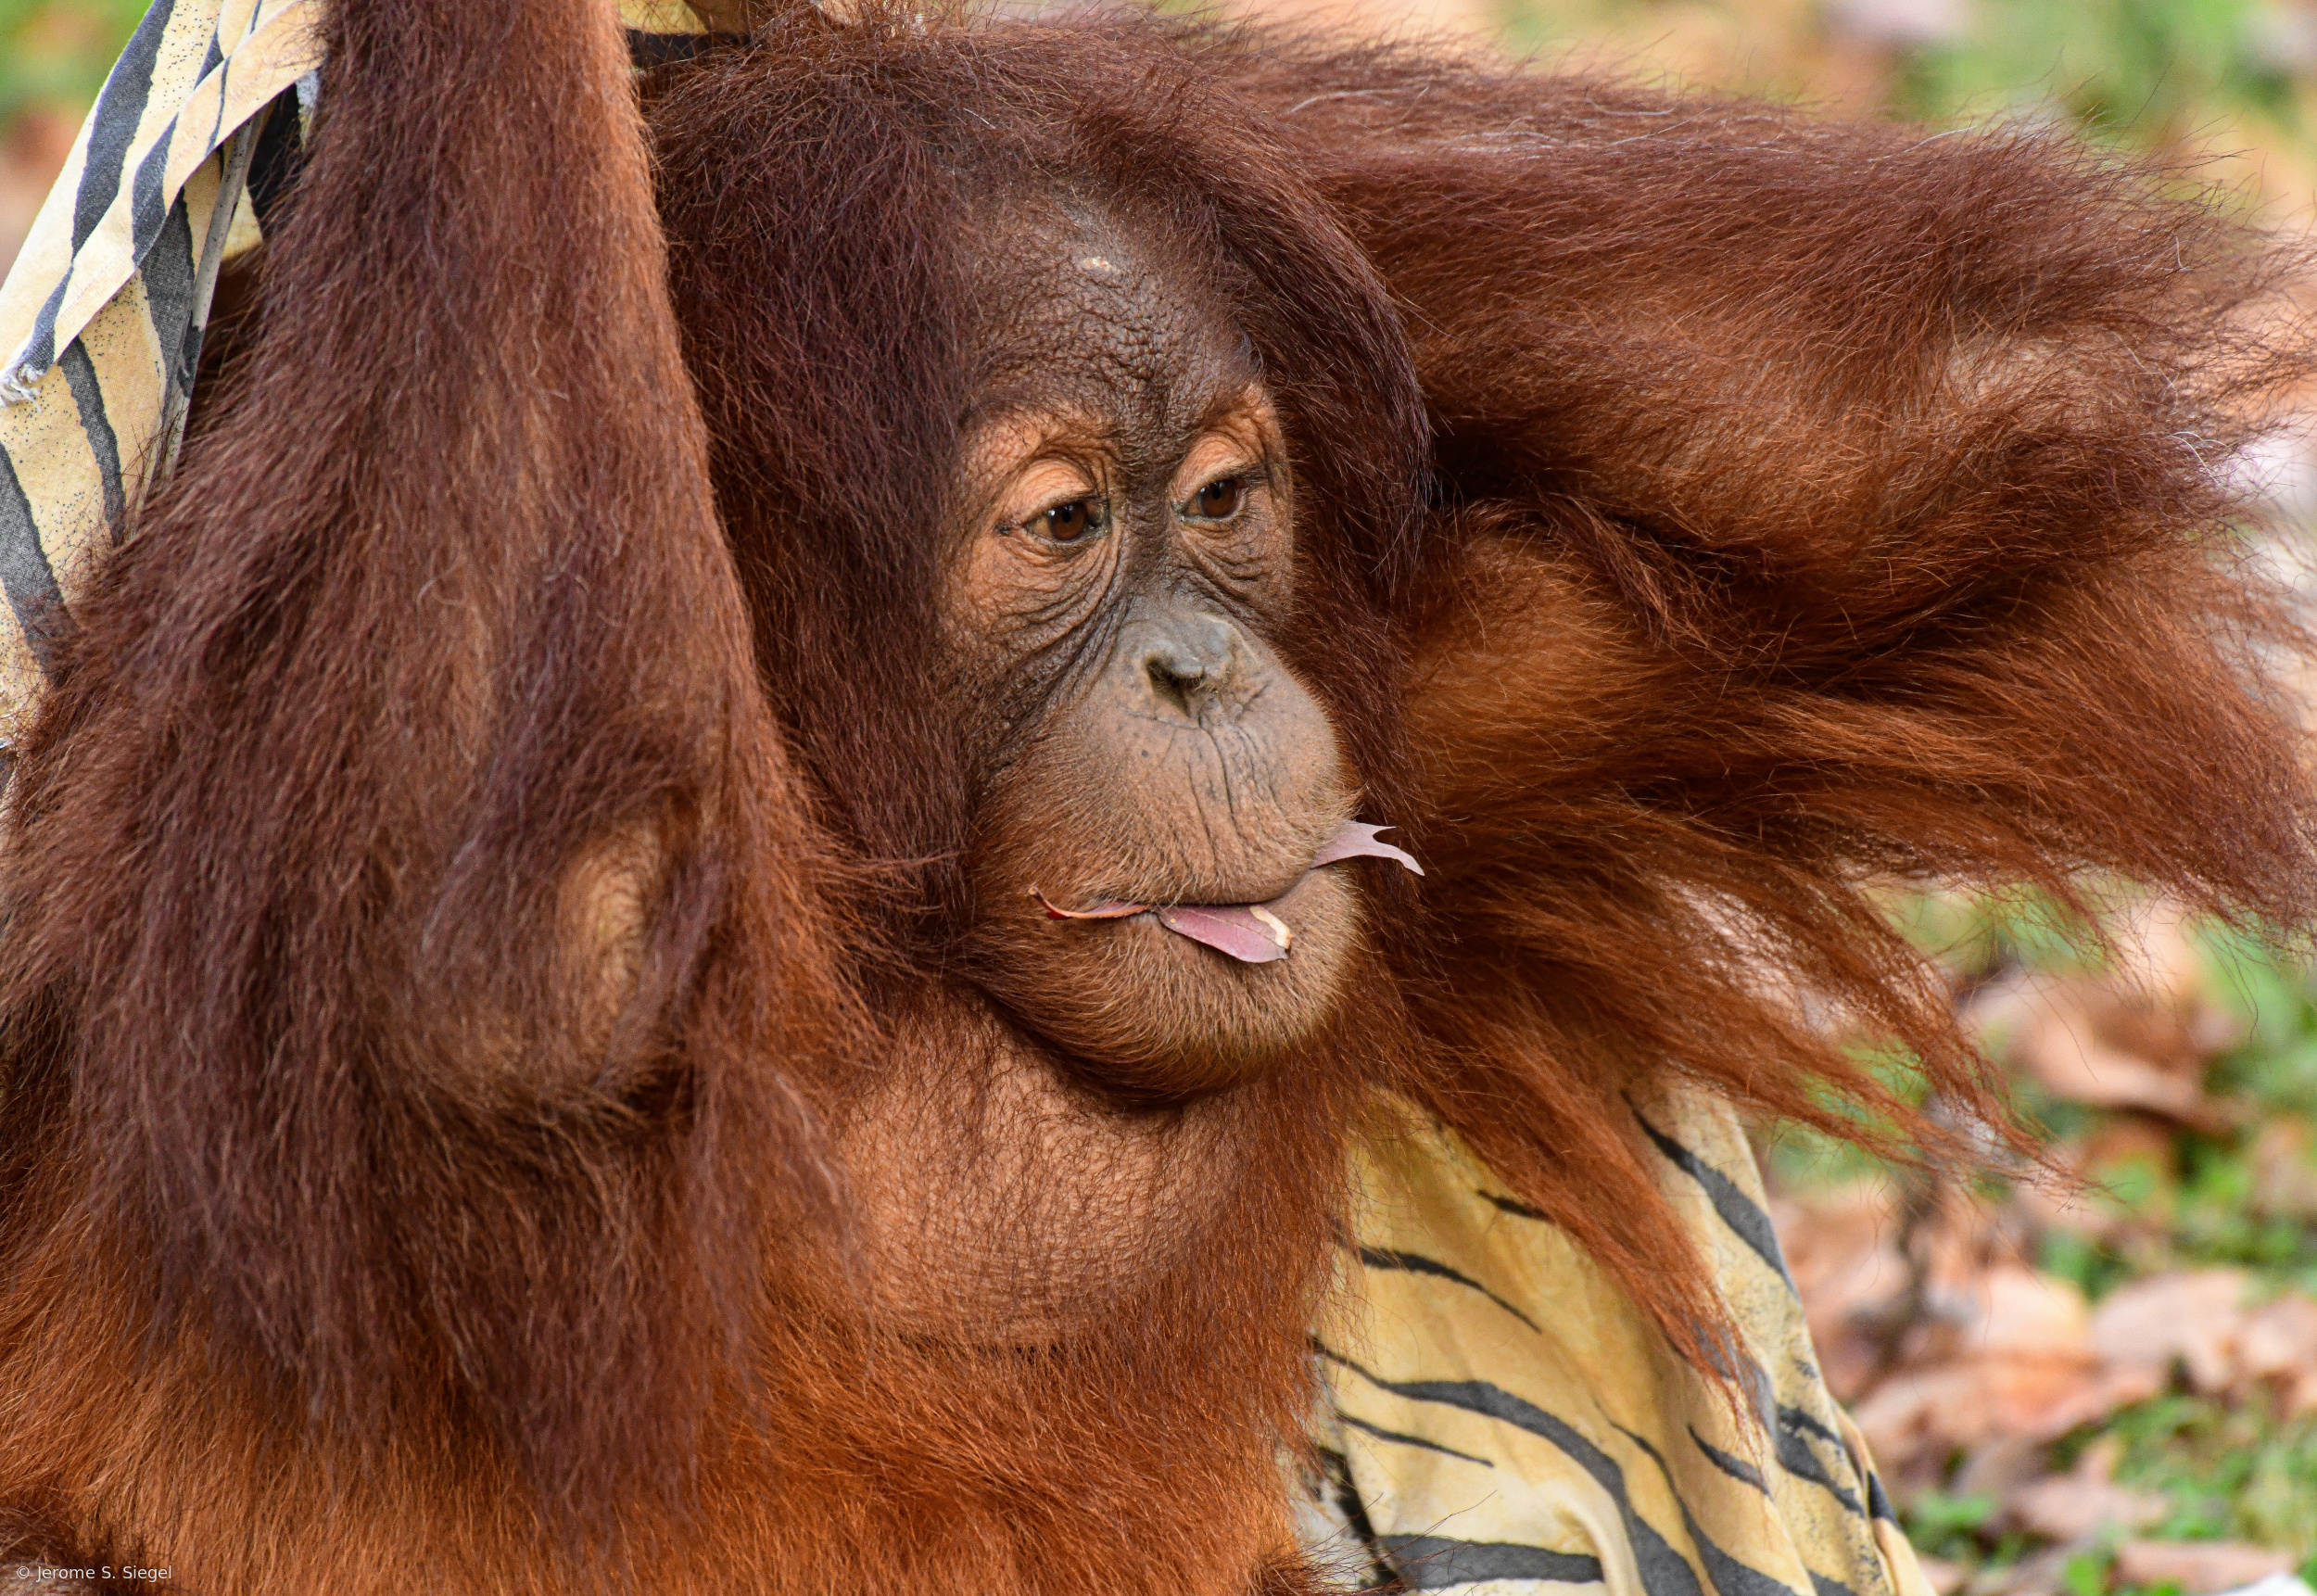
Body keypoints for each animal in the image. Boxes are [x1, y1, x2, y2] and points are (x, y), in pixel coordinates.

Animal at [0, 0, 2307, 1590]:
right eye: (1059, 525)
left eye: (1215, 500)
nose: (1203, 672)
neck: (890, 939)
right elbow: (517, 938)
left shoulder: (1458, 705)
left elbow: (1961, 416)